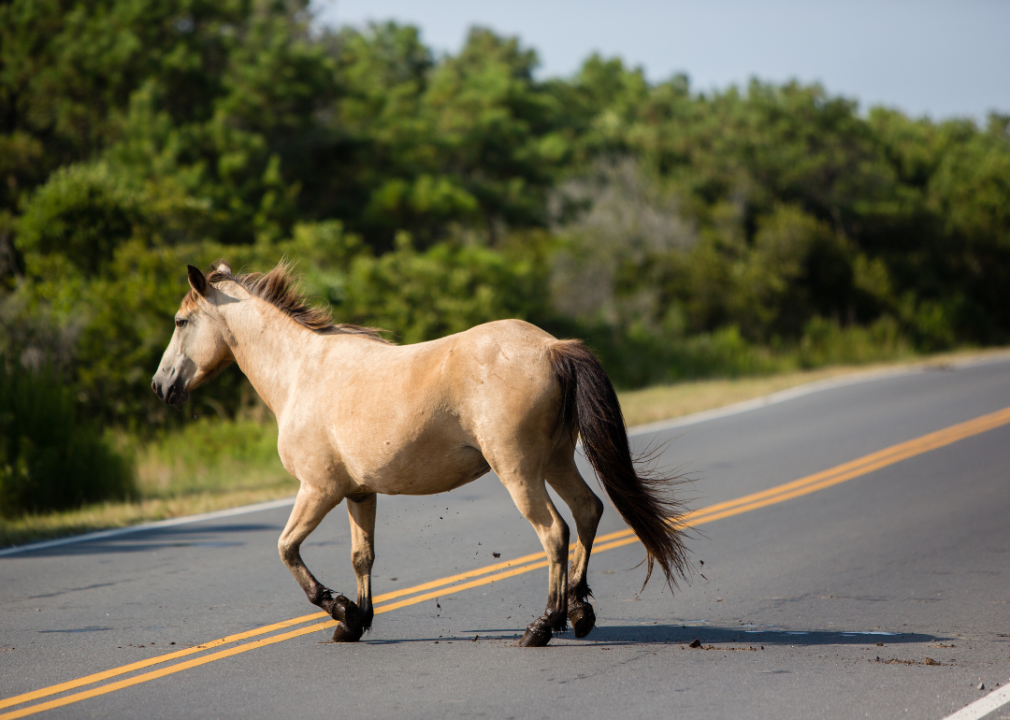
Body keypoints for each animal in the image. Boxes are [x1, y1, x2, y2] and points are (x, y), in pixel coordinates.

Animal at [149, 260, 690, 646]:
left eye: (180, 320)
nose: (160, 386)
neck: (302, 372)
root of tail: (552, 347)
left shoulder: (319, 490)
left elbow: (286, 549)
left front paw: (339, 609)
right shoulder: (359, 493)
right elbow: (361, 556)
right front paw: (355, 621)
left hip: (519, 471)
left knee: (555, 531)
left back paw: (542, 626)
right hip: (556, 461)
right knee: (587, 510)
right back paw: (579, 612)